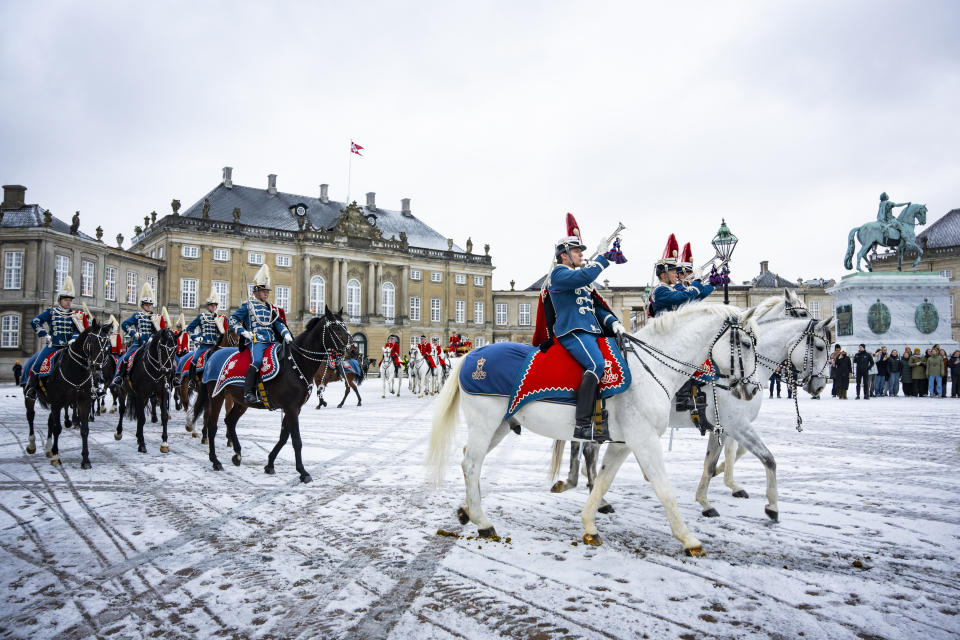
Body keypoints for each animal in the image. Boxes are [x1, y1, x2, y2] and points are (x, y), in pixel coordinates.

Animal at [25, 322, 112, 468]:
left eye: (107, 343)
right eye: (92, 340)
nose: (97, 367)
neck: (75, 370)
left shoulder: (83, 402)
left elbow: (84, 430)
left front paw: (85, 460)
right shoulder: (56, 403)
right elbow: (57, 428)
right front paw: (56, 456)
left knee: (49, 421)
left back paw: (48, 448)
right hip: (31, 396)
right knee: (31, 416)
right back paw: (32, 445)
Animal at [191, 308, 352, 482]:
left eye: (344, 325)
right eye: (335, 328)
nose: (352, 348)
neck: (295, 363)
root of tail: (214, 355)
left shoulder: (295, 408)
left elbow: (284, 437)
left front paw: (270, 463)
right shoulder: (291, 407)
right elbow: (296, 440)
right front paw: (303, 471)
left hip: (241, 401)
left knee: (230, 421)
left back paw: (237, 454)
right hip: (216, 396)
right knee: (212, 425)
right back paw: (215, 460)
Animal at [432, 302, 760, 556]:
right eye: (745, 344)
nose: (753, 389)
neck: (650, 368)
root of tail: (471, 356)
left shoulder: (624, 443)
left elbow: (603, 480)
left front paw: (590, 525)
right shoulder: (644, 440)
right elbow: (664, 489)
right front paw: (689, 539)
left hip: (499, 426)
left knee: (470, 460)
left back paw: (467, 510)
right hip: (485, 422)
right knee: (471, 463)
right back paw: (483, 522)